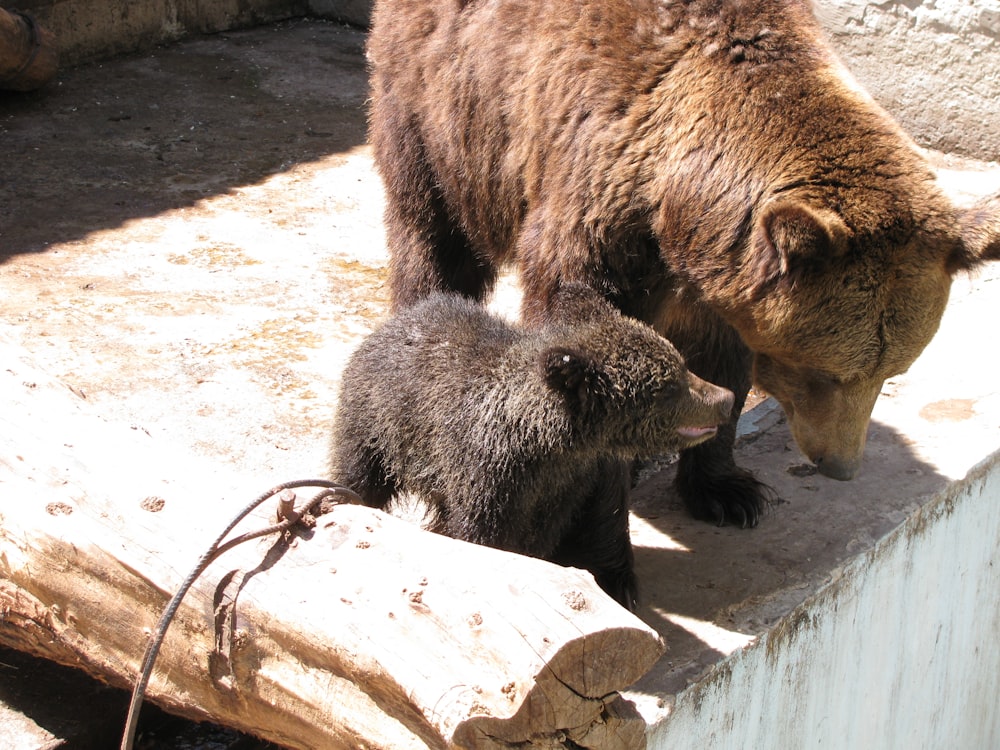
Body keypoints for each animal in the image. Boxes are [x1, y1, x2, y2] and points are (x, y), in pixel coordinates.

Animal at [368, 0, 1000, 528]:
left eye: (893, 371)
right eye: (823, 373)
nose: (839, 465)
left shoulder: (726, 287)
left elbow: (725, 367)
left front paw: (726, 491)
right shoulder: (595, 206)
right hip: (443, 112)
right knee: (434, 241)